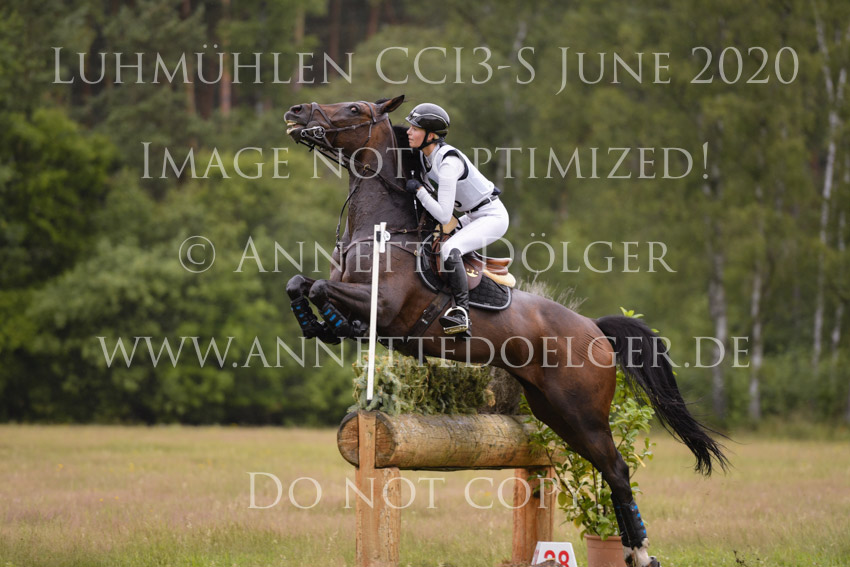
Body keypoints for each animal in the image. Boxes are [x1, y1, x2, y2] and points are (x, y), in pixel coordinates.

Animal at [283, 95, 727, 567]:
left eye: (353, 109)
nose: (296, 113)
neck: (382, 230)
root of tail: (594, 328)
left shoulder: (383, 308)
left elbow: (323, 288)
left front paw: (333, 323)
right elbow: (301, 283)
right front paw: (320, 323)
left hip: (583, 414)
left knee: (618, 469)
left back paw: (640, 553)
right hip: (555, 412)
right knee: (606, 467)